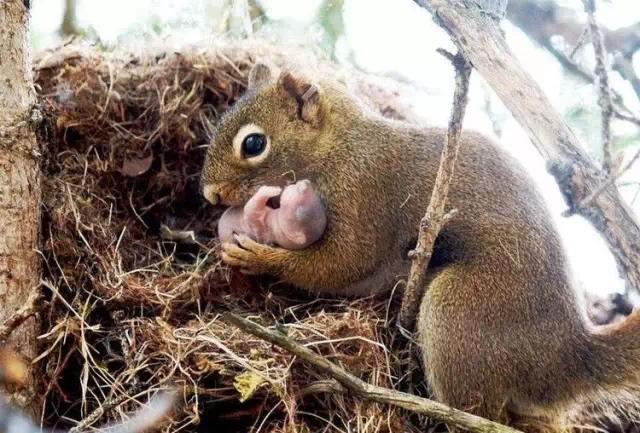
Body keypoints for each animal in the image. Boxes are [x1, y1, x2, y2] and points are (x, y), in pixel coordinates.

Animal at [200, 63, 640, 428]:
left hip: (460, 312)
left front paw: (259, 257)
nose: (209, 194)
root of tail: (569, 356)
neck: (339, 147)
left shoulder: (365, 193)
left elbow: (343, 263)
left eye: (253, 144)